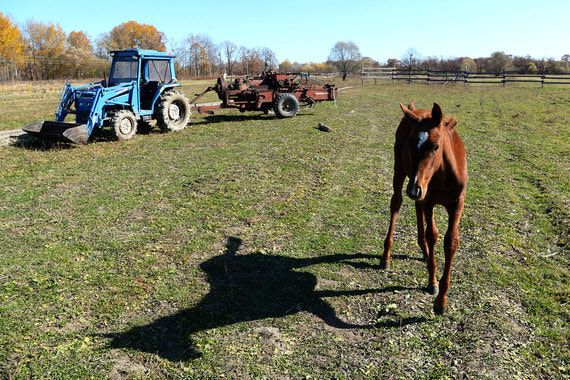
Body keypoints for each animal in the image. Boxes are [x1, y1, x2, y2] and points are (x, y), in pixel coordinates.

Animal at [382, 101, 466, 314]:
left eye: (435, 146)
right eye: (410, 144)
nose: (413, 188)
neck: (443, 173)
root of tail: (413, 109)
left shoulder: (457, 204)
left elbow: (451, 241)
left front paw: (442, 301)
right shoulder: (429, 200)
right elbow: (432, 235)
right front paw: (432, 282)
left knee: (417, 207)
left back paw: (425, 253)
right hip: (401, 172)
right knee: (397, 203)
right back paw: (386, 256)